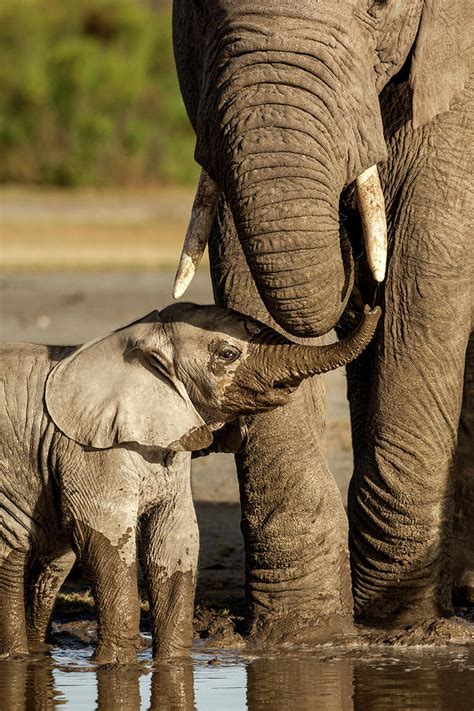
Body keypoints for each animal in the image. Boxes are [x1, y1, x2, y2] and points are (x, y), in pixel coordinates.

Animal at [0, 298, 380, 660]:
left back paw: (37, 653)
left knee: (51, 564)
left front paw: (174, 662)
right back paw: (16, 655)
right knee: (15, 553)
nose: (369, 308)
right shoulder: (90, 450)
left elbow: (175, 539)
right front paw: (114, 665)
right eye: (228, 354)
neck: (136, 339)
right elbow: (104, 534)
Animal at [173, 0, 474, 640]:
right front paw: (303, 632)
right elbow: (241, 259)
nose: (362, 298)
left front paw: (397, 625)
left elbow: (423, 263)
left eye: (380, 8)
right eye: (202, 9)